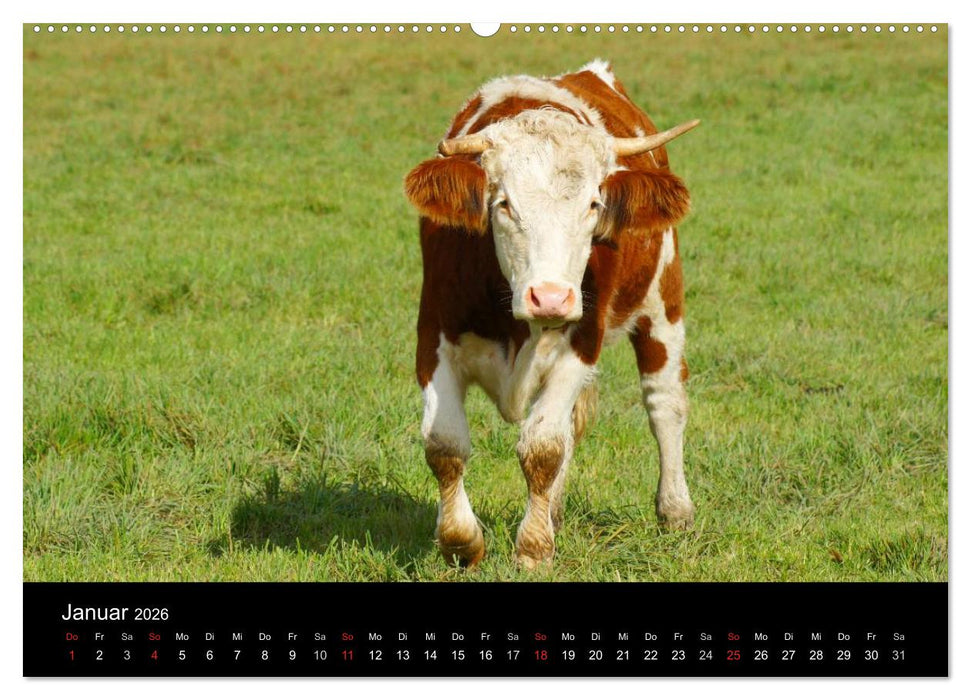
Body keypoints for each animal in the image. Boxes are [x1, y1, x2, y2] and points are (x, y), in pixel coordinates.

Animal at [403, 60, 699, 569]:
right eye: (503, 203)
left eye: (594, 204)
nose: (551, 298)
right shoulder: (434, 336)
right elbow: (445, 442)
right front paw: (461, 541)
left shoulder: (578, 345)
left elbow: (542, 447)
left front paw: (533, 548)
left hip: (663, 305)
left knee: (664, 404)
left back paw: (675, 510)